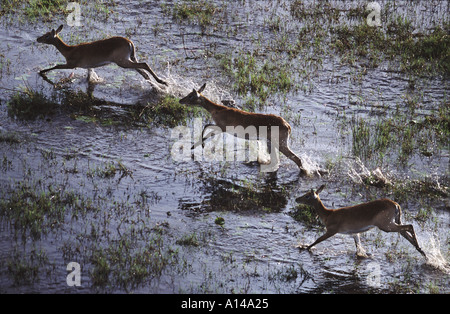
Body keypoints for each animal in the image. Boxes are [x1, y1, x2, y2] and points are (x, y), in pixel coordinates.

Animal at [36, 24, 167, 86]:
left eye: (47, 35)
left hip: (123, 62)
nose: (38, 39)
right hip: (129, 60)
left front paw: (41, 72)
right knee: (144, 72)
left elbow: (56, 66)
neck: (70, 50)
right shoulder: (89, 67)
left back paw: (162, 82)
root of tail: (129, 42)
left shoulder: (71, 65)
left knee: (144, 65)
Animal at [179, 83, 310, 174]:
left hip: (280, 143)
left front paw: (198, 146)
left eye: (190, 96)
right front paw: (195, 146)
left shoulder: (222, 127)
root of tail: (288, 125)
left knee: (295, 159)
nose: (180, 100)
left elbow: (206, 127)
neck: (217, 110)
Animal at [296, 184, 426, 258]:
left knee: (409, 226)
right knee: (405, 232)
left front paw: (304, 247)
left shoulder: (331, 231)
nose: (297, 199)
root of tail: (396, 204)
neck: (328, 214)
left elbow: (318, 240)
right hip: (393, 223)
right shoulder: (355, 233)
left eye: (307, 195)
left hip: (386, 226)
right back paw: (422, 251)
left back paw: (421, 250)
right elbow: (358, 247)